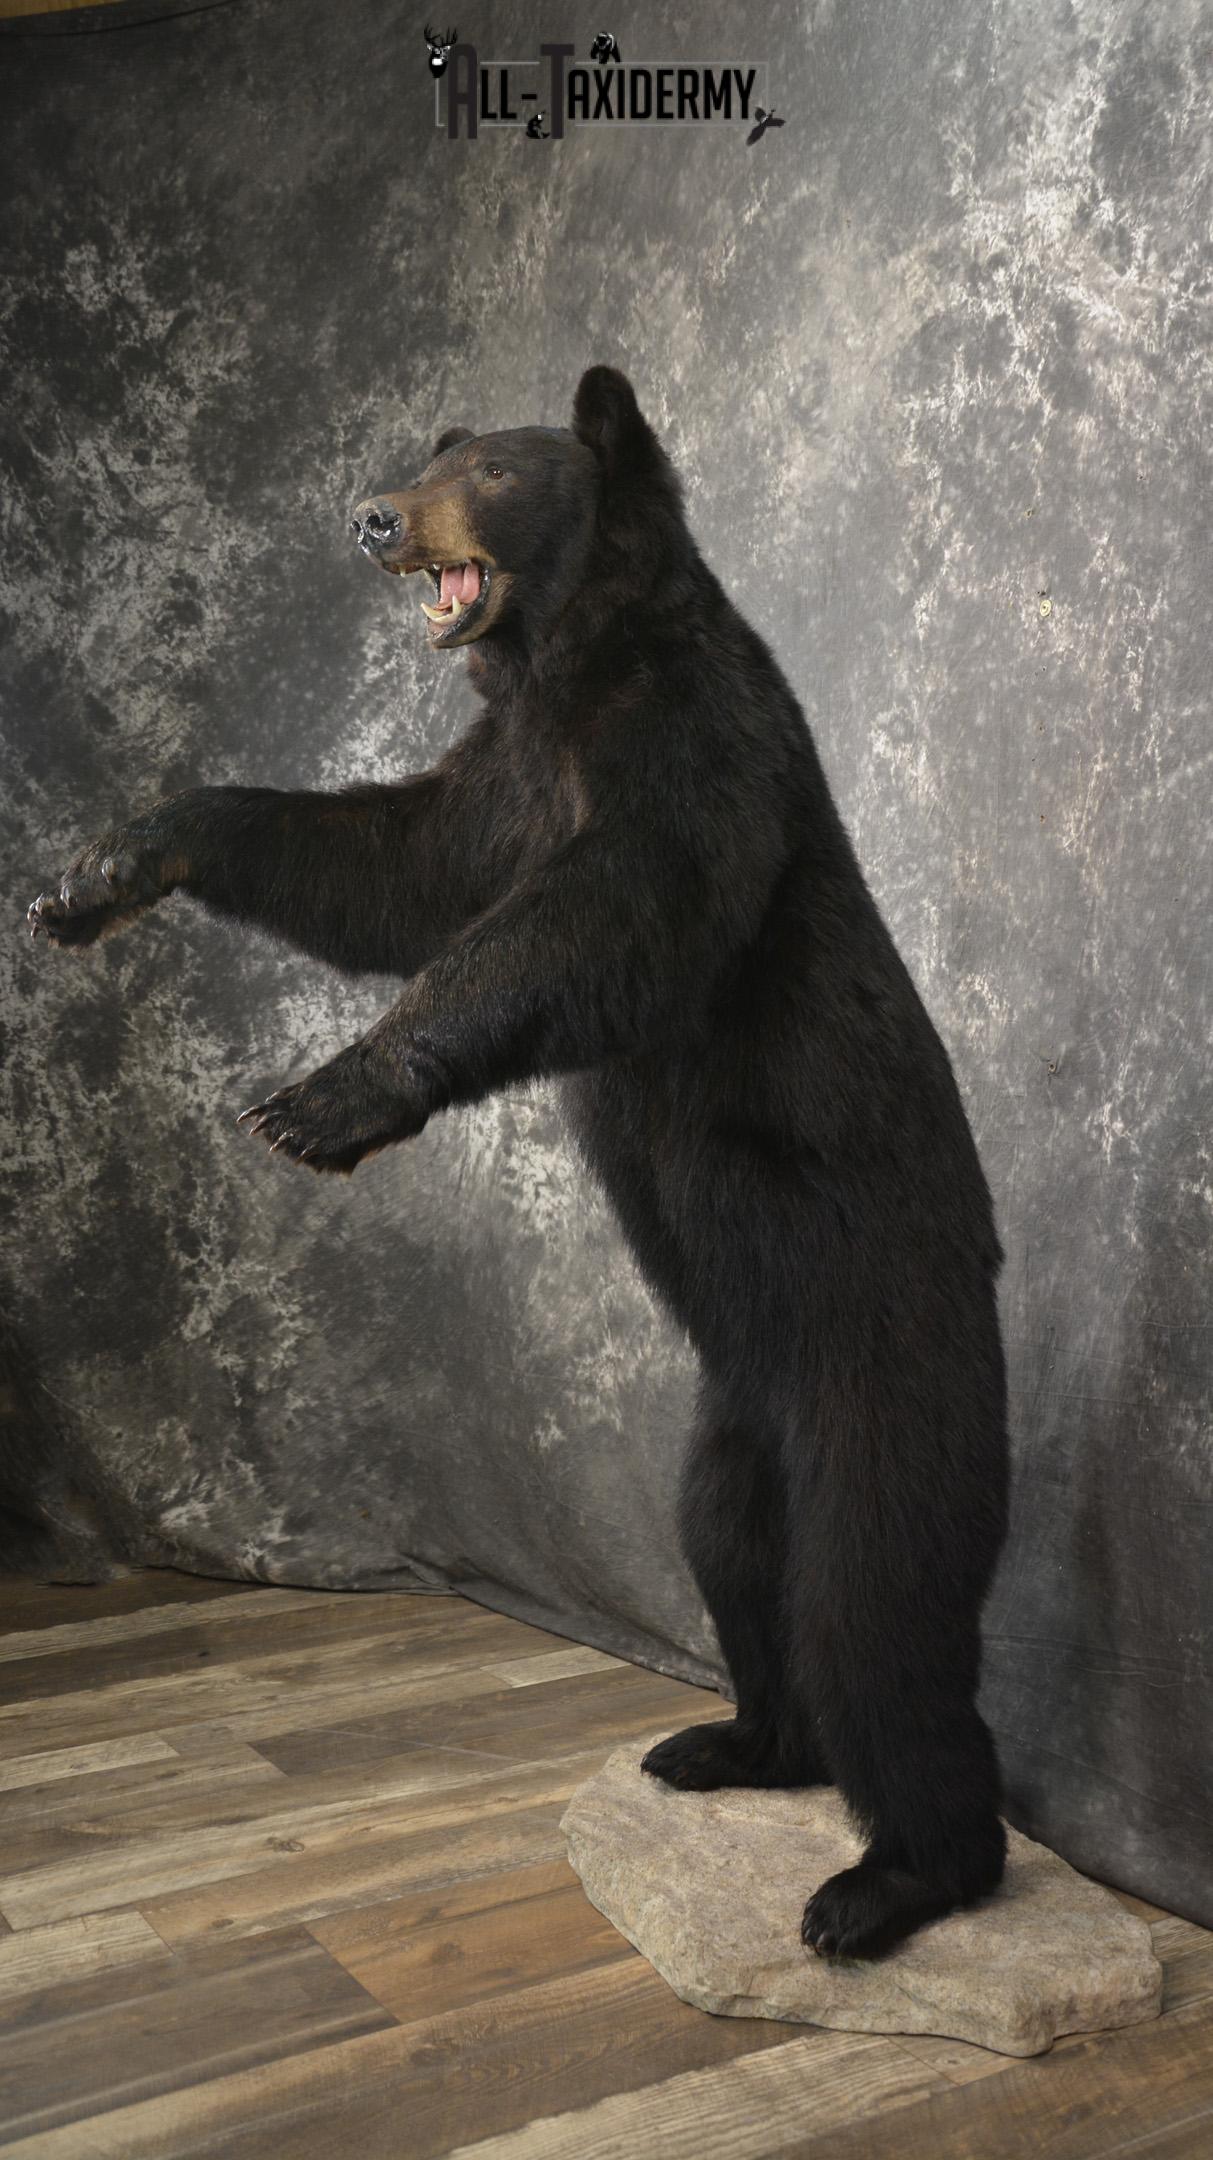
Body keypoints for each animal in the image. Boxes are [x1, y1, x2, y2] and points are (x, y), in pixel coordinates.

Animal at [28, 366, 1011, 1959]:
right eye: (441, 452)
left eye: (493, 469)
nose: (371, 518)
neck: (563, 668)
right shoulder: (500, 778)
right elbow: (389, 865)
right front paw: (104, 867)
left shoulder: (693, 751)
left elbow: (602, 913)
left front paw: (322, 1100)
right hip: (729, 1423)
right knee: (735, 1564)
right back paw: (728, 1743)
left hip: (883, 1355)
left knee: (877, 1613)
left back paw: (887, 1882)